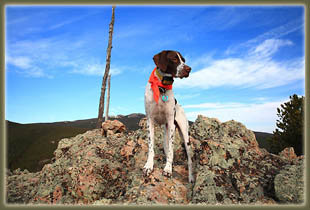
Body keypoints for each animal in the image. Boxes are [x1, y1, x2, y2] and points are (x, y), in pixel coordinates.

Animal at [143, 50, 194, 183]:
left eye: (184, 60)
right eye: (174, 59)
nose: (189, 69)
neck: (162, 88)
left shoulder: (171, 123)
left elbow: (171, 150)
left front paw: (168, 169)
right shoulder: (150, 121)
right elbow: (151, 147)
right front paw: (149, 166)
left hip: (184, 135)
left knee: (189, 159)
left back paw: (191, 177)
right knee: (166, 148)